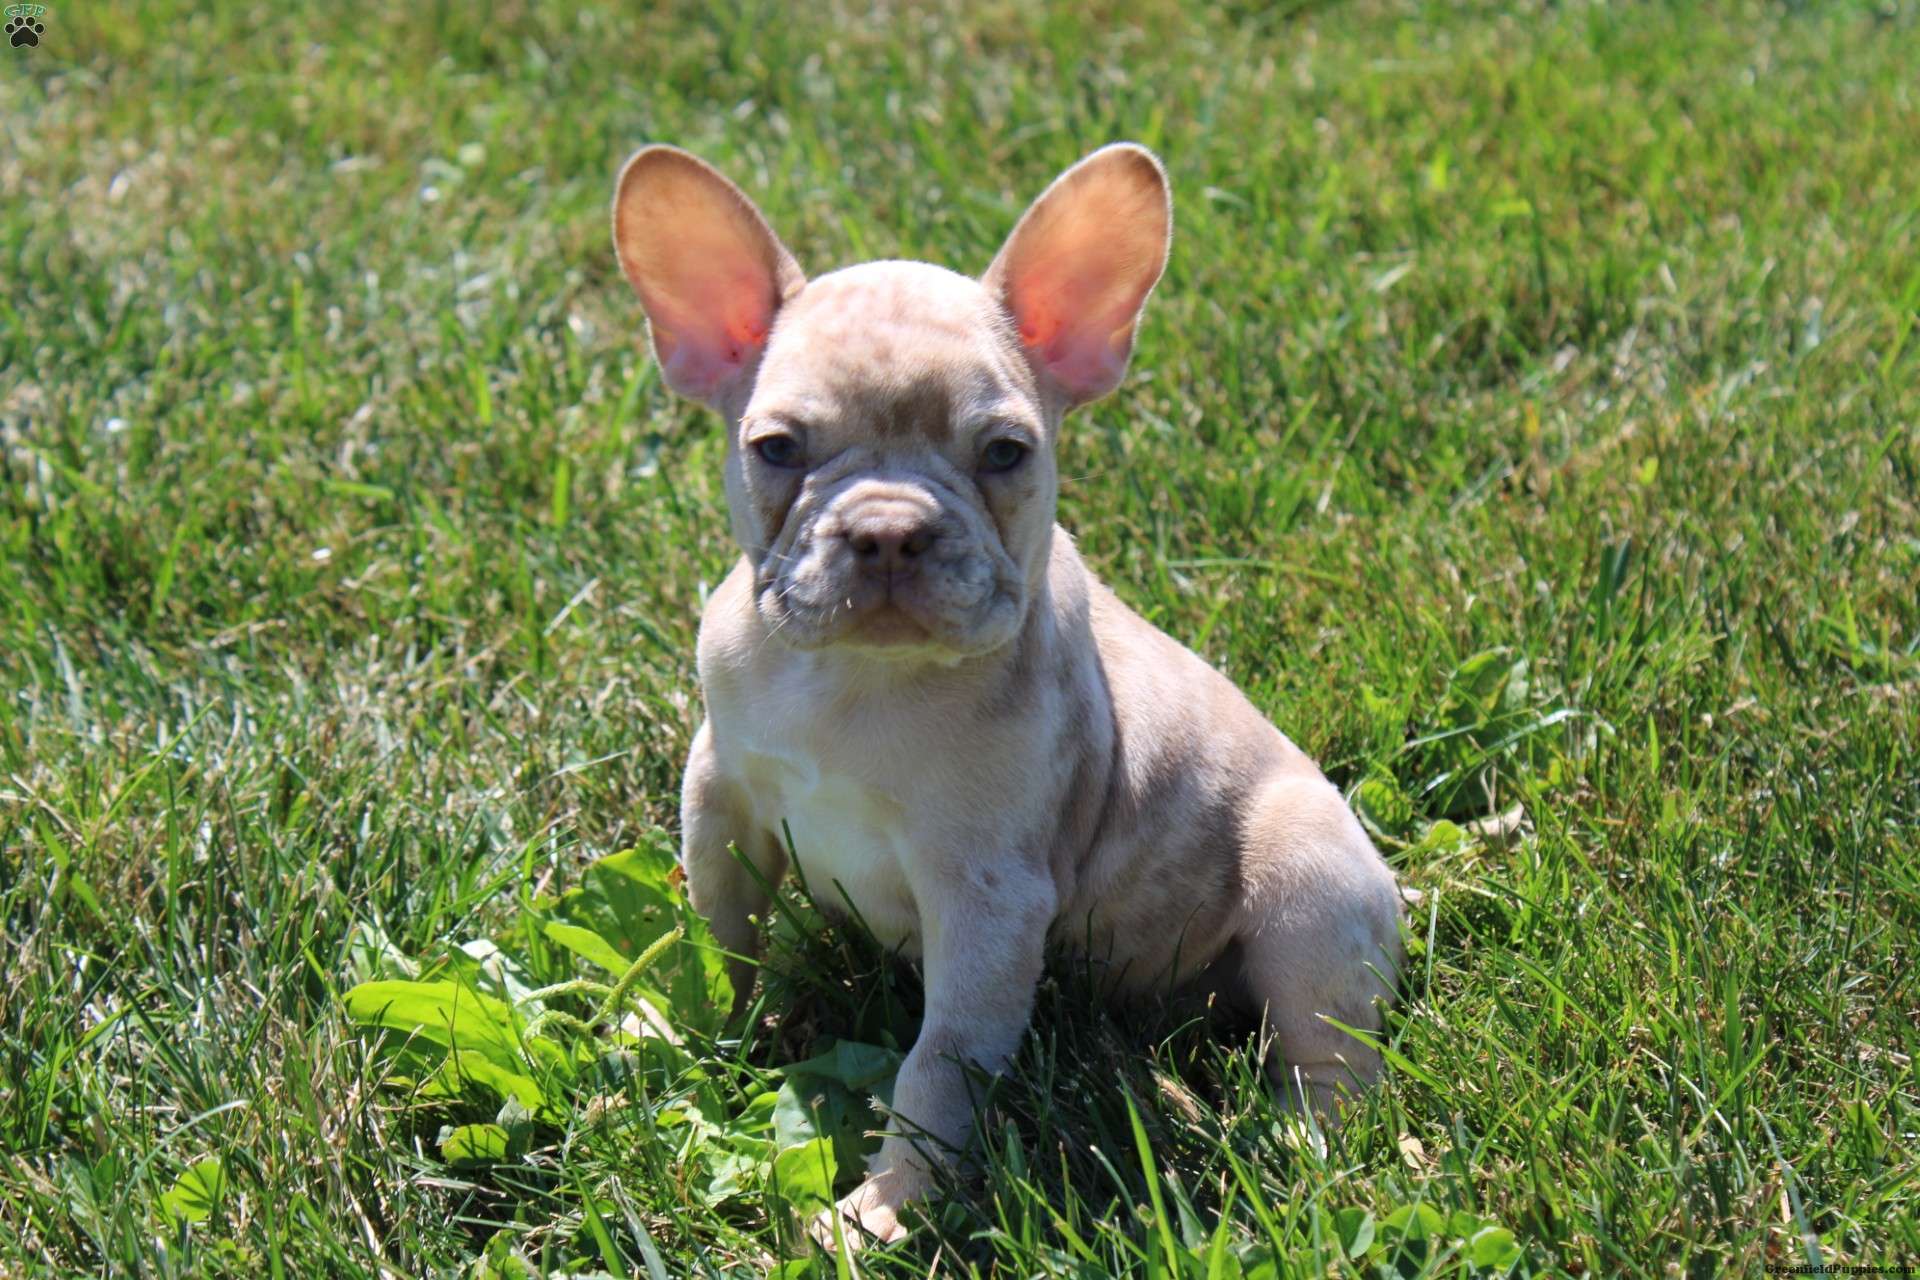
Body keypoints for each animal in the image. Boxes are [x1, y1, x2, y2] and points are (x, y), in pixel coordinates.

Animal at [606, 142, 1405, 1251]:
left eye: (1004, 454)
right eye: (777, 449)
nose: (888, 529)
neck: (856, 677)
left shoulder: (985, 900)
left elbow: (936, 1063)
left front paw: (884, 1208)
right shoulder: (718, 794)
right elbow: (719, 933)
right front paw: (679, 1030)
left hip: (1307, 884)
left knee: (1332, 1059)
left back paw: (1297, 1144)